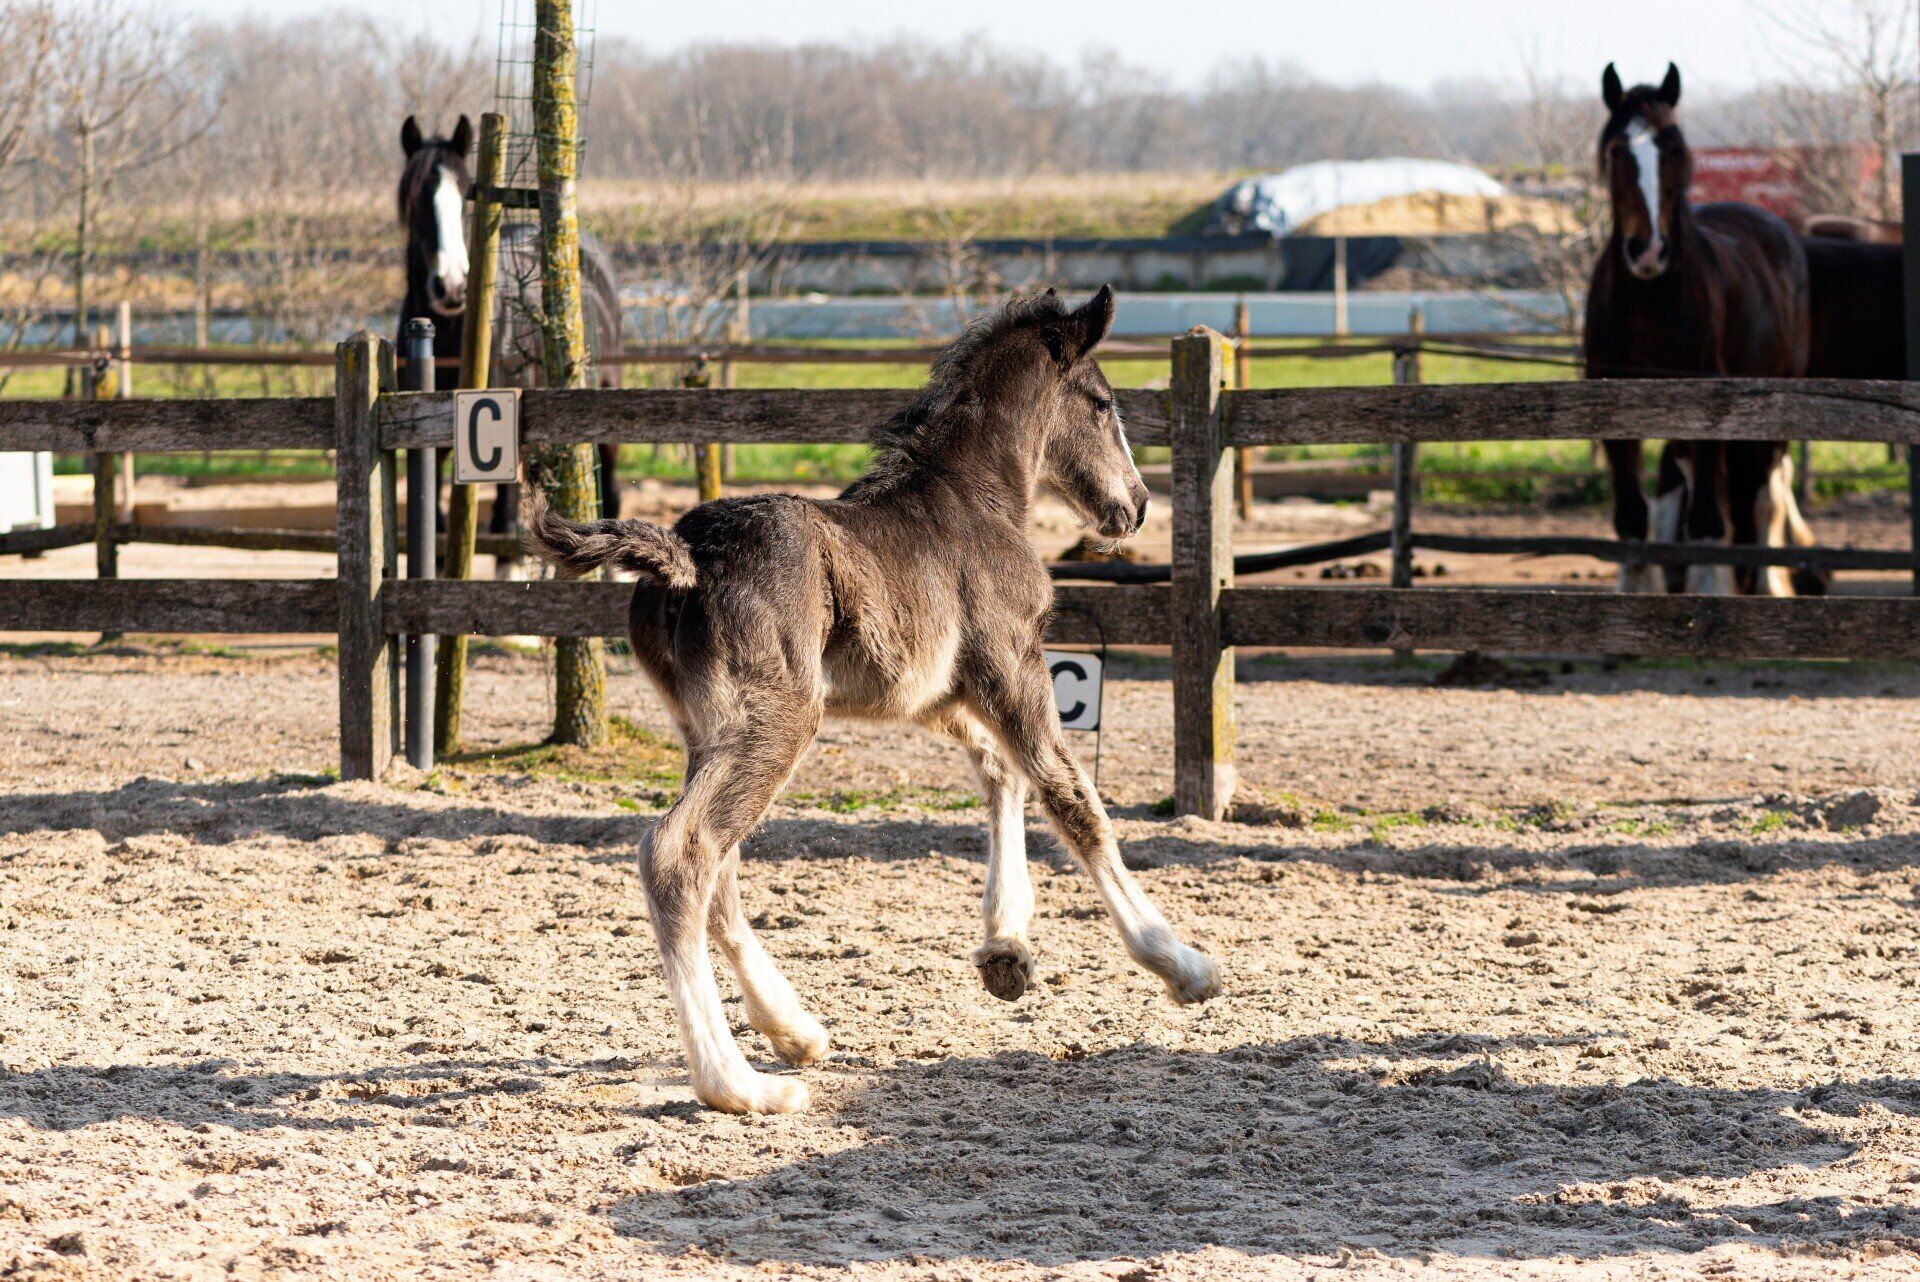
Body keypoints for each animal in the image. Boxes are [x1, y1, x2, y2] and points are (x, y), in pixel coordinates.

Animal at [525, 287, 1219, 1114]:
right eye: (1104, 402)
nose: (1136, 505)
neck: (975, 500)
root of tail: (685, 556)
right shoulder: (1012, 663)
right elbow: (1070, 795)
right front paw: (1180, 963)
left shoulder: (934, 690)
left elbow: (1002, 773)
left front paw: (1007, 948)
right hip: (779, 721)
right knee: (682, 854)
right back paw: (738, 1083)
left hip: (710, 729)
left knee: (718, 868)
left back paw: (793, 1031)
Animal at [1585, 64, 1819, 597]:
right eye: (1616, 151)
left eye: (1673, 148)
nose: (1648, 250)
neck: (1649, 305)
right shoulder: (1614, 417)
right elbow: (1633, 520)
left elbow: (1712, 520)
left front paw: (1713, 595)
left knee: (1762, 497)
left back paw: (1765, 584)